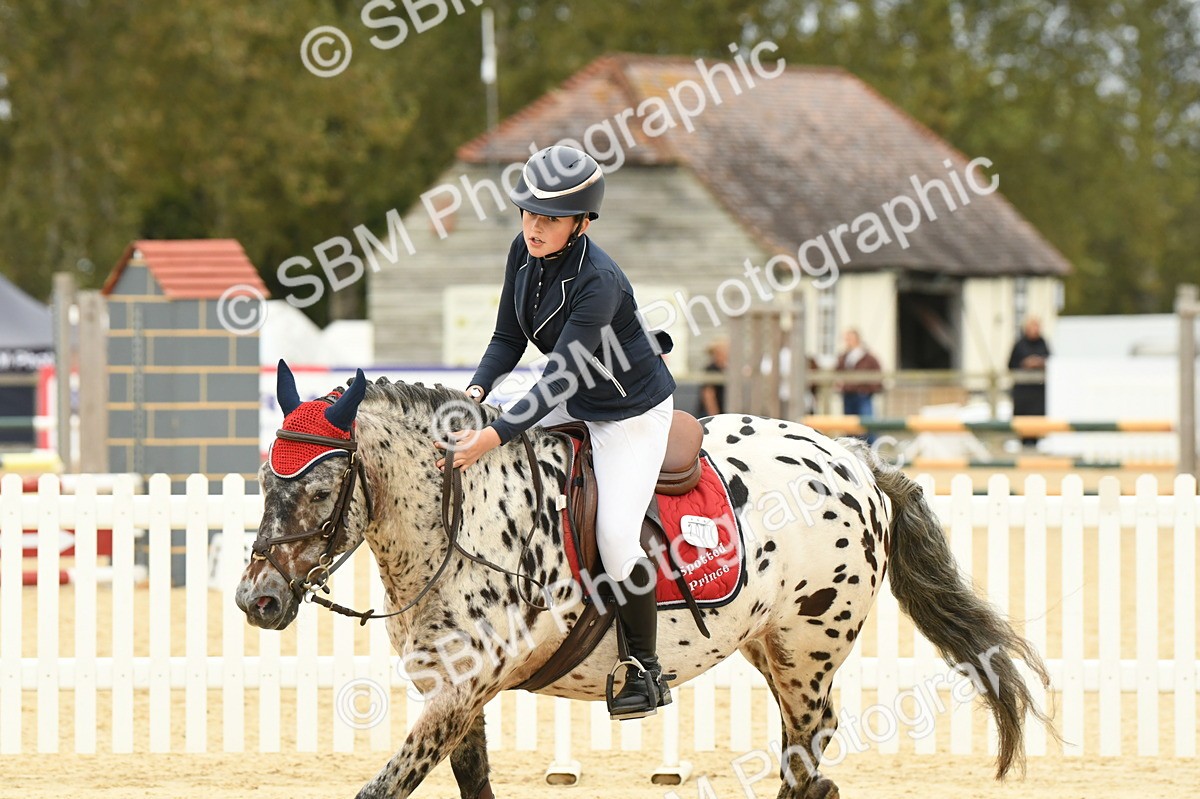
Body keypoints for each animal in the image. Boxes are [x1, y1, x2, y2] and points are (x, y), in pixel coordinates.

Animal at [235, 364, 1051, 799]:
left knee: (807, 749)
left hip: (806, 646)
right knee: (808, 754)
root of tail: (854, 460)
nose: (256, 600)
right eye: (265, 480)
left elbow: (381, 788)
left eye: (320, 488)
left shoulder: (461, 691)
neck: (461, 520)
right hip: (768, 645)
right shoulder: (456, 694)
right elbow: (472, 784)